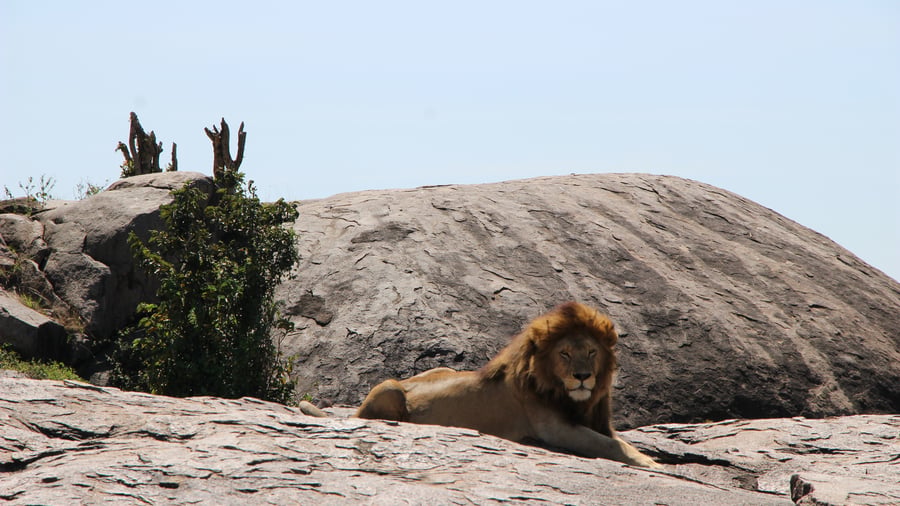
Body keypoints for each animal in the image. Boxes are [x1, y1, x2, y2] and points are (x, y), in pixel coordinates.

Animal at [352, 302, 660, 468]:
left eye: (592, 352)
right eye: (565, 353)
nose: (582, 376)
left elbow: (619, 442)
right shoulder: (555, 429)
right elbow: (610, 446)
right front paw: (653, 464)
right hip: (389, 387)